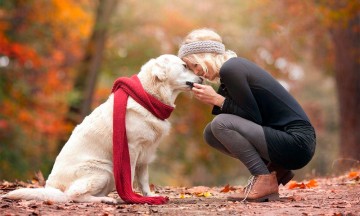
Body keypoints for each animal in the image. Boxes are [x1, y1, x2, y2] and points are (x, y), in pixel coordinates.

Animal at [2, 54, 202, 202]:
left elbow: (144, 179)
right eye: (184, 66)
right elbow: (129, 176)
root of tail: (52, 187)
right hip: (104, 171)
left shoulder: (145, 153)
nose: (201, 77)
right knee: (73, 196)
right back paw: (106, 200)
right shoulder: (131, 149)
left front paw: (149, 196)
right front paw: (132, 197)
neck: (148, 96)